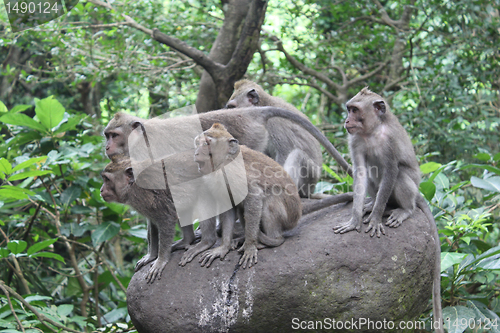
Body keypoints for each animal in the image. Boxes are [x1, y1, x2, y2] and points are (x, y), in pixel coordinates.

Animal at [190, 122, 300, 268]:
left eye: (205, 143)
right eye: (198, 143)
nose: (196, 153)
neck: (226, 160)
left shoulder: (235, 174)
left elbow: (254, 197)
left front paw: (249, 246)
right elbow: (229, 207)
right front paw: (223, 247)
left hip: (289, 215)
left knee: (270, 200)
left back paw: (273, 240)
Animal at [334, 87, 444, 332]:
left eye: (354, 110)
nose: (346, 120)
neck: (372, 131)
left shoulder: (390, 141)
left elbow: (391, 171)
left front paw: (375, 220)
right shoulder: (355, 139)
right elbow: (361, 172)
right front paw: (355, 219)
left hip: (411, 189)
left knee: (399, 175)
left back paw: (401, 210)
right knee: (372, 173)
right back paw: (372, 203)